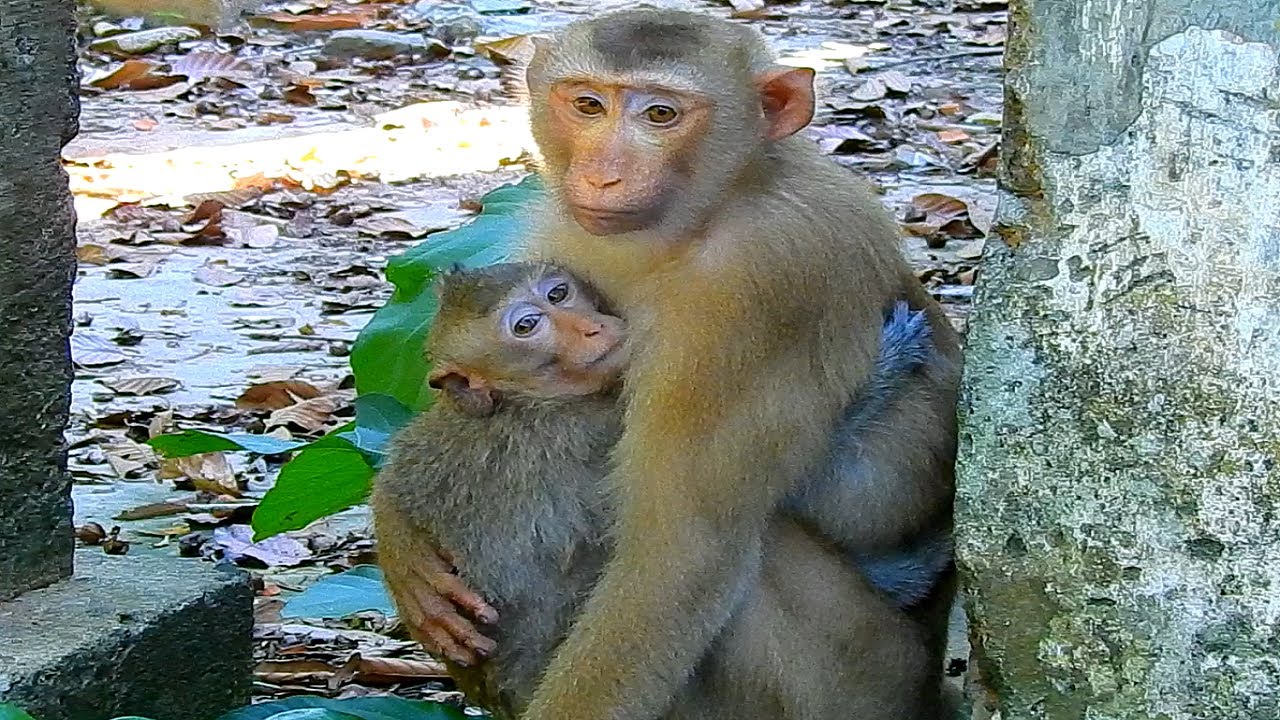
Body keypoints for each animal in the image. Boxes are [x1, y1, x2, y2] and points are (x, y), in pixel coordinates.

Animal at [371, 261, 947, 720]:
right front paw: (887, 367)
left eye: (558, 293)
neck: (525, 401)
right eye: (526, 327)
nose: (592, 328)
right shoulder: (596, 428)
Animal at [505, 9, 964, 720]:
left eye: (661, 114)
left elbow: (679, 556)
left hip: (870, 679)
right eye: (587, 105)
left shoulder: (753, 287)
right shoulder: (564, 236)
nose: (603, 174)